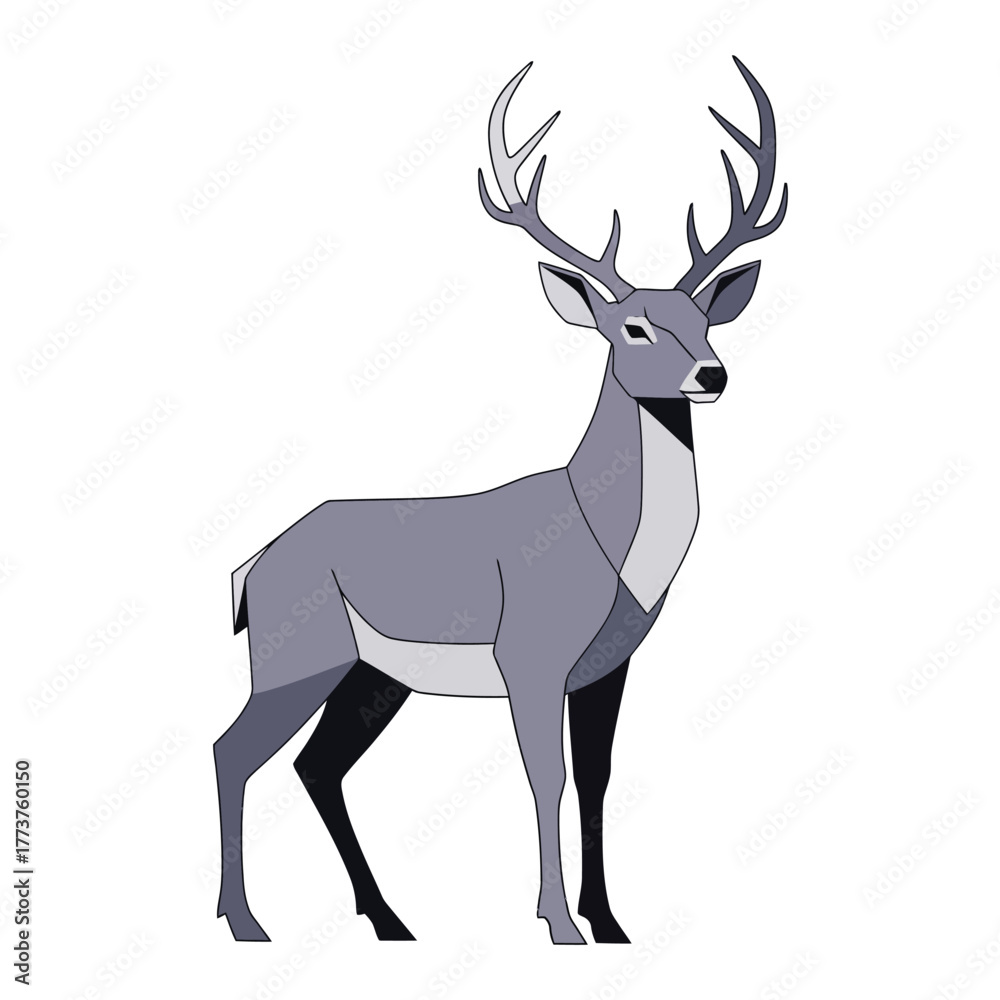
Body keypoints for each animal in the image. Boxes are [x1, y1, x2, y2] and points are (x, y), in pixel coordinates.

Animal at [214, 56, 787, 946]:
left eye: (704, 319)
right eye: (633, 328)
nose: (713, 374)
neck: (606, 545)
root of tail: (250, 569)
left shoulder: (606, 665)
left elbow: (596, 779)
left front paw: (609, 923)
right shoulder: (531, 653)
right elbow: (545, 779)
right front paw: (557, 925)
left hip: (372, 675)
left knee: (315, 764)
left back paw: (389, 920)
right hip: (295, 653)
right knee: (232, 752)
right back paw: (245, 922)